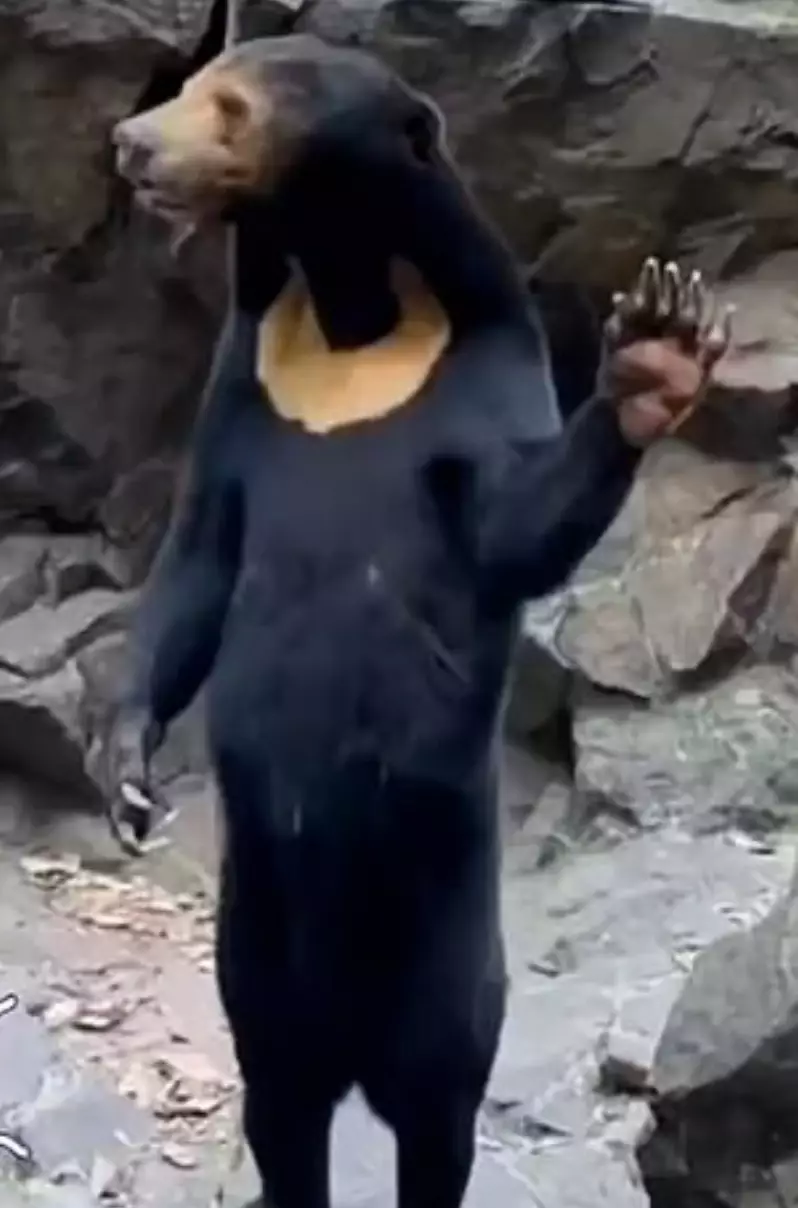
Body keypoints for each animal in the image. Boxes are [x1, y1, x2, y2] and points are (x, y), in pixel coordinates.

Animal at [107, 34, 732, 1208]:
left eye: (228, 105)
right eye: (191, 86)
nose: (128, 143)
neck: (352, 307)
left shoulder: (477, 369)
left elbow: (515, 521)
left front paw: (657, 345)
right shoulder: (248, 381)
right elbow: (201, 554)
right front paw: (123, 775)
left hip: (444, 928)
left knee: (437, 1099)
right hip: (256, 941)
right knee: (282, 1094)